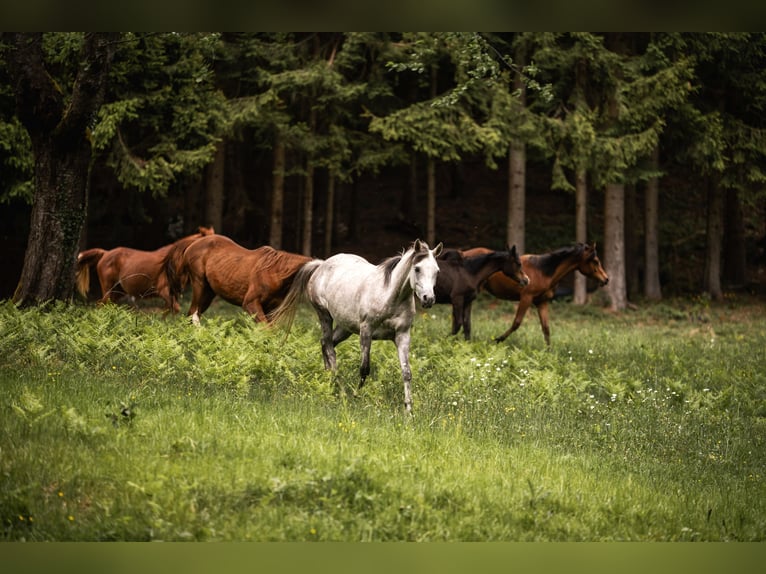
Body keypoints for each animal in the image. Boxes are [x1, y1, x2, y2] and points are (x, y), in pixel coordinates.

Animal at [76, 226, 215, 312]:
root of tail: (105, 253)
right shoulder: (163, 290)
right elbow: (174, 310)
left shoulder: (173, 293)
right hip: (108, 288)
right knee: (102, 304)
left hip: (118, 291)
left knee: (105, 305)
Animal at [165, 234, 312, 324]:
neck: (275, 273)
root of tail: (193, 243)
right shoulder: (250, 303)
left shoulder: (271, 309)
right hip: (199, 284)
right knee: (193, 314)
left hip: (209, 293)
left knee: (193, 314)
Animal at [271, 239, 443, 413]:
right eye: (417, 268)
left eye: (437, 271)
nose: (428, 299)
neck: (389, 295)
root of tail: (321, 265)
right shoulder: (366, 330)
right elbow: (364, 368)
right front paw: (355, 396)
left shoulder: (402, 335)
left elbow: (406, 372)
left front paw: (408, 409)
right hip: (324, 316)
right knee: (329, 347)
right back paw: (340, 390)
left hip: (345, 327)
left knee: (326, 344)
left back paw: (329, 381)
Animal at [461, 242, 609, 346]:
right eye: (595, 261)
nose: (606, 279)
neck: (543, 271)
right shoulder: (526, 298)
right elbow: (516, 323)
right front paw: (497, 340)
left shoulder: (541, 302)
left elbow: (546, 328)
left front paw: (549, 353)